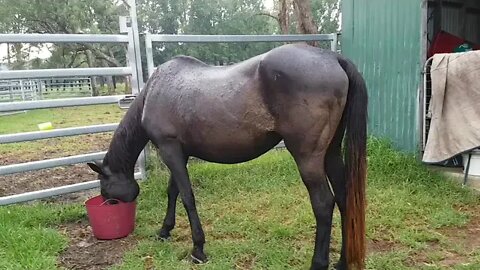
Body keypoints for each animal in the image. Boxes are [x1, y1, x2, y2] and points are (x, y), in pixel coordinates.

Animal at [88, 43, 368, 268]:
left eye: (106, 190)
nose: (111, 208)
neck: (154, 91)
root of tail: (332, 57)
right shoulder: (179, 153)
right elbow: (173, 191)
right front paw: (164, 231)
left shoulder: (170, 150)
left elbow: (187, 197)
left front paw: (198, 250)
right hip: (331, 153)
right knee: (344, 198)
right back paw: (342, 261)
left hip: (307, 158)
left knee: (323, 204)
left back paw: (318, 263)